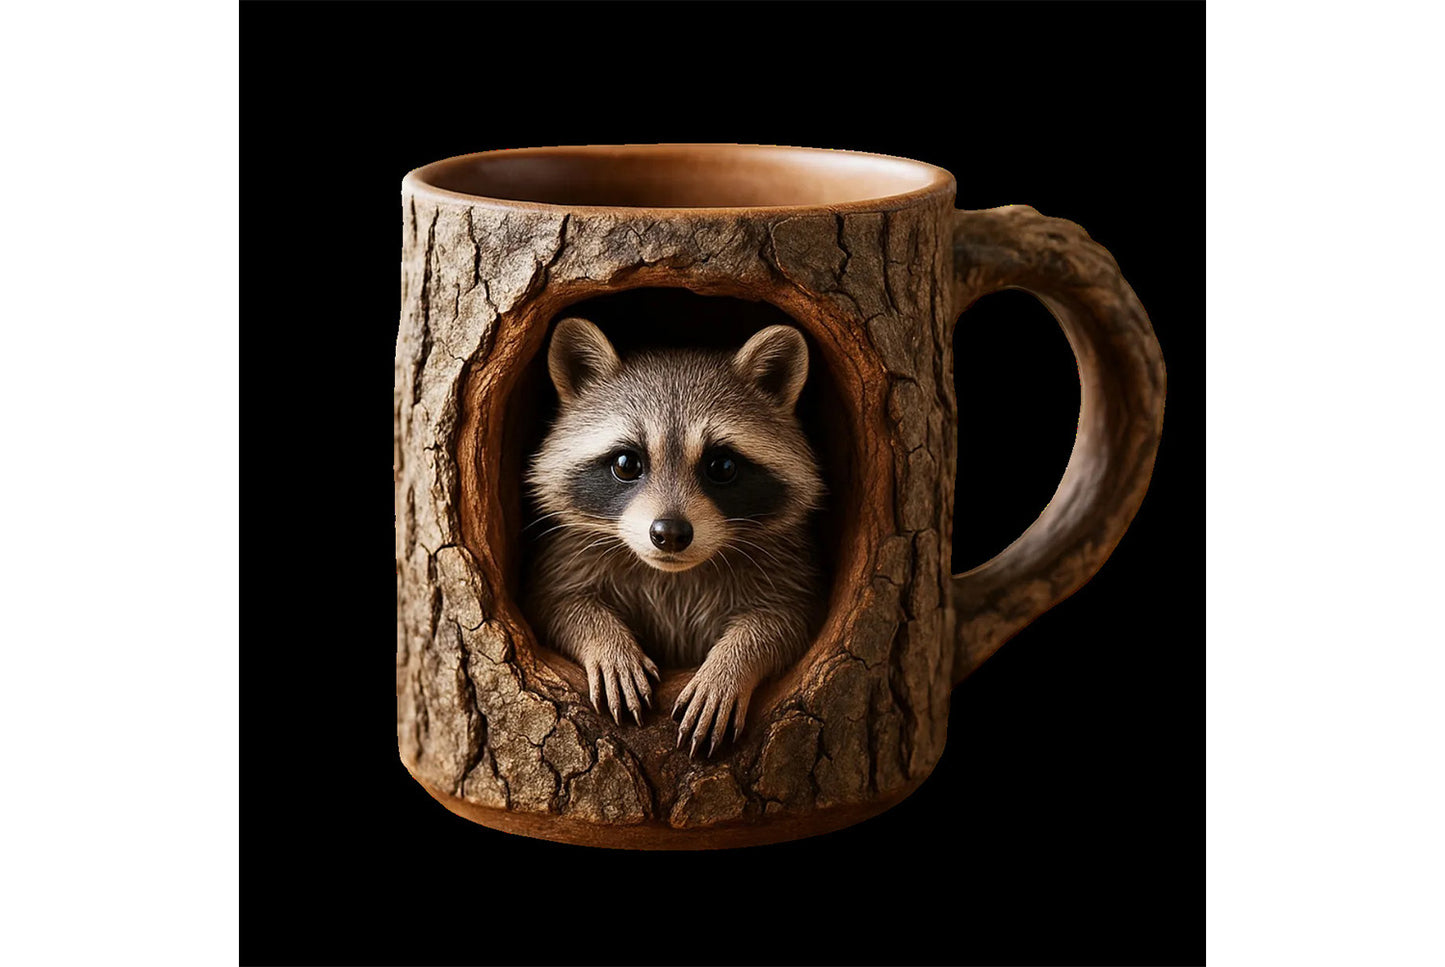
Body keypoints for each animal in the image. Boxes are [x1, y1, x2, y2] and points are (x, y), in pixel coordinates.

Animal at [524, 317, 826, 756]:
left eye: (721, 466)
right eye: (626, 463)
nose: (669, 533)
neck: (674, 574)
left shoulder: (786, 565)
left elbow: (783, 621)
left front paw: (731, 664)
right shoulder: (569, 553)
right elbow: (559, 603)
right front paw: (606, 641)